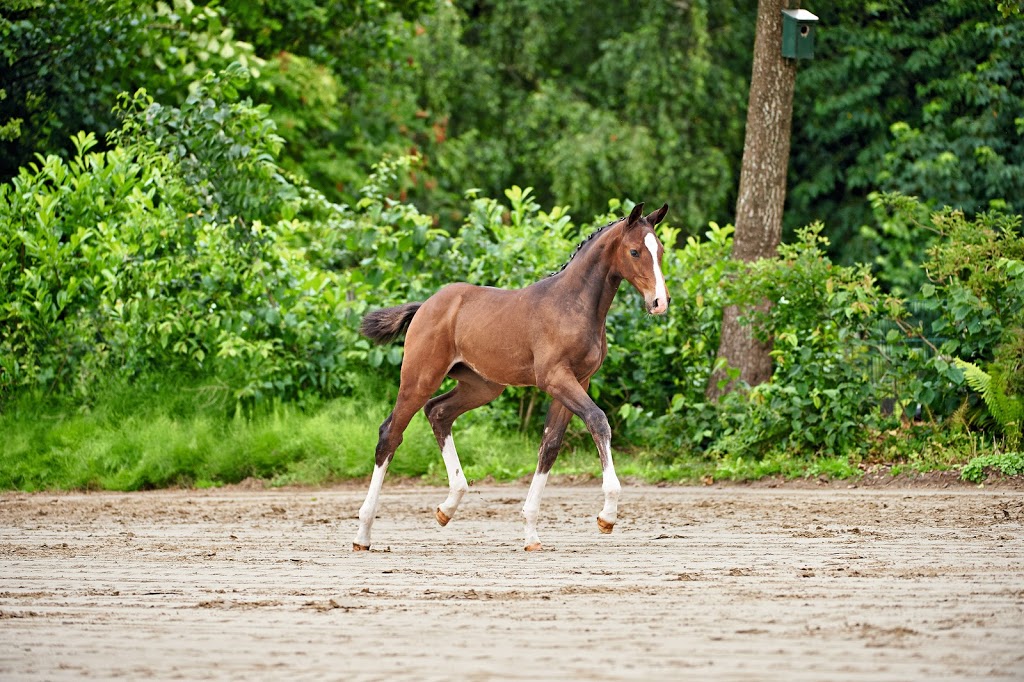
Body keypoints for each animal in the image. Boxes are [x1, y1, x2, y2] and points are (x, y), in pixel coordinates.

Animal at [354, 200, 671, 548]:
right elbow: (598, 420)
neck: (573, 304)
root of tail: (425, 305)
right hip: (420, 376)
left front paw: (531, 531)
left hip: (482, 386)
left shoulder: (579, 380)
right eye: (634, 251)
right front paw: (607, 515)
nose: (660, 302)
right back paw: (363, 532)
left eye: (661, 250)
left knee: (438, 412)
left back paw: (447, 507)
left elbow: (550, 445)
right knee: (390, 433)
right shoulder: (555, 378)